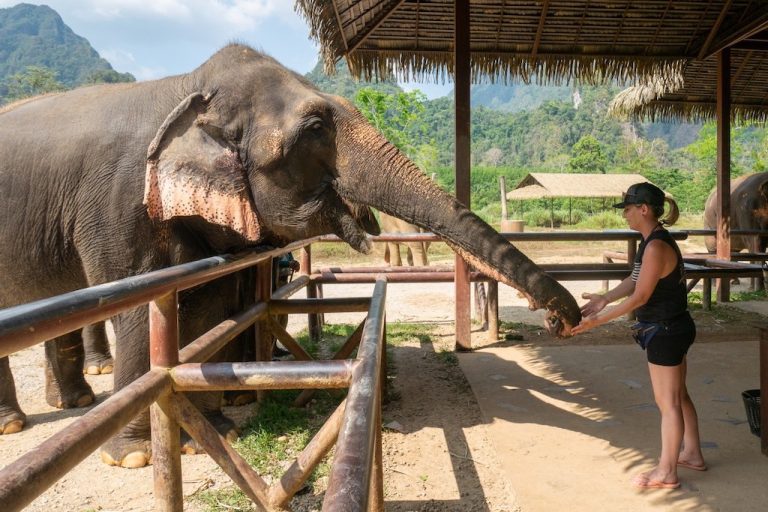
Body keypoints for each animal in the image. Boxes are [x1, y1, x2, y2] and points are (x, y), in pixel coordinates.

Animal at [0, 44, 580, 468]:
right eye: (315, 129)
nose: (563, 319)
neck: (185, 88)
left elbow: (208, 306)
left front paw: (213, 432)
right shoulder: (117, 204)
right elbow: (144, 306)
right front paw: (136, 457)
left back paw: (71, 404)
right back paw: (24, 421)